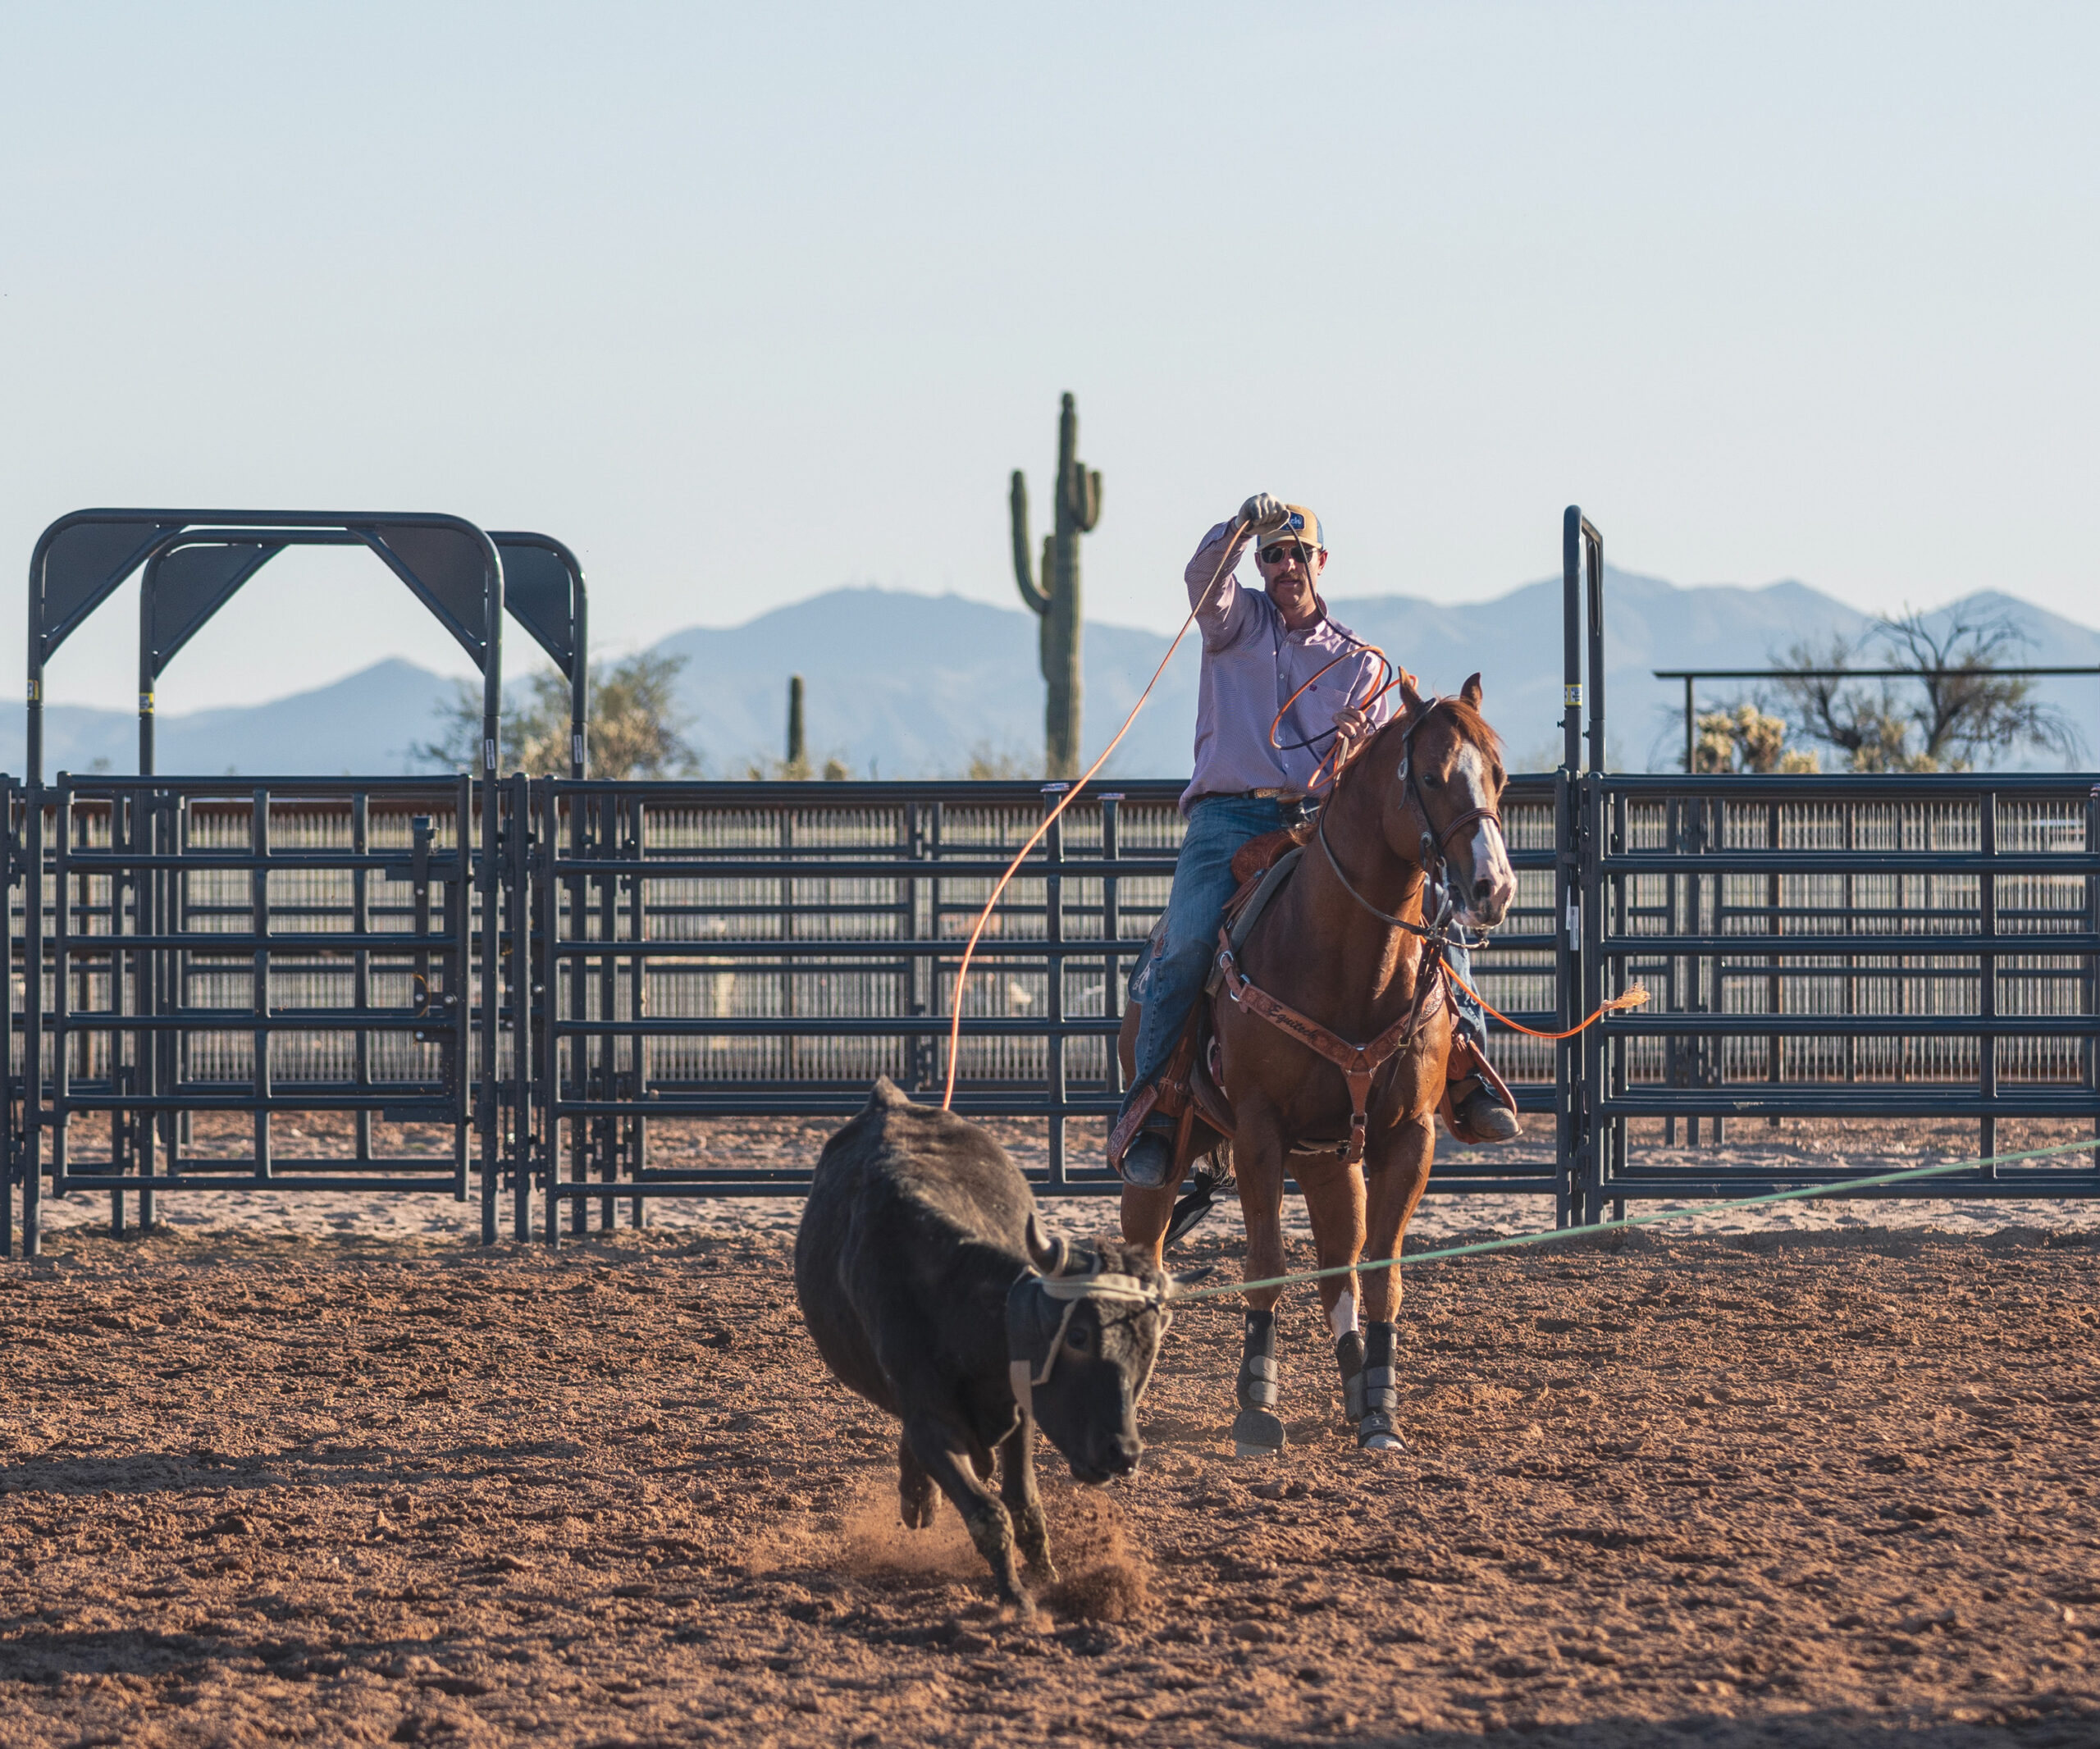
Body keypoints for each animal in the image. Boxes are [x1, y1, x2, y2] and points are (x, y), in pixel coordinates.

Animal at [1116, 676, 1512, 1453]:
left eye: (1498, 775)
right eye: (1429, 777)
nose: (1492, 887)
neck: (1348, 963)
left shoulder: (1409, 1137)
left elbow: (1380, 1272)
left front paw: (1383, 1410)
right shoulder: (1259, 1131)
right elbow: (1266, 1264)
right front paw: (1256, 1406)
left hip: (1329, 1158)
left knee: (1339, 1268)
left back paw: (1358, 1388)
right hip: (1168, 1151)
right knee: (1147, 1248)